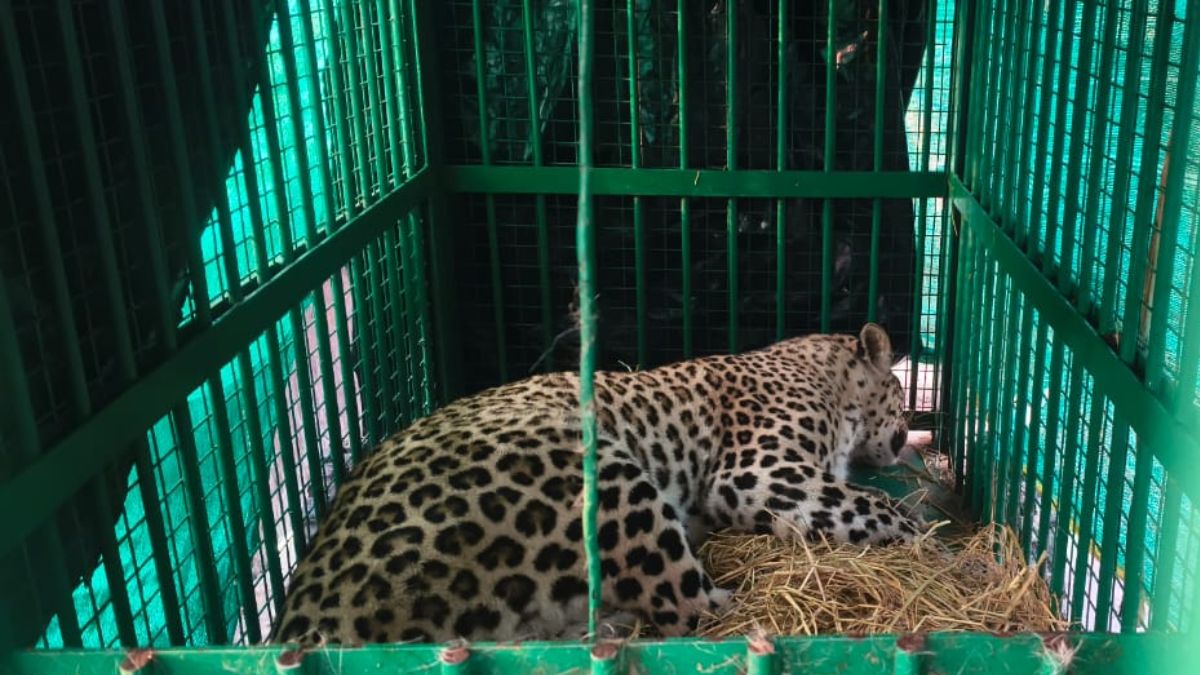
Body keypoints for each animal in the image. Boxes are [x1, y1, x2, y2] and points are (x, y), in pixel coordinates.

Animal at [267, 323, 925, 646]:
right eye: (900, 389)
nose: (908, 427)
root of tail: (305, 617)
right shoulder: (757, 473)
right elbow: (874, 507)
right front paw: (930, 542)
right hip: (604, 470)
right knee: (697, 615)